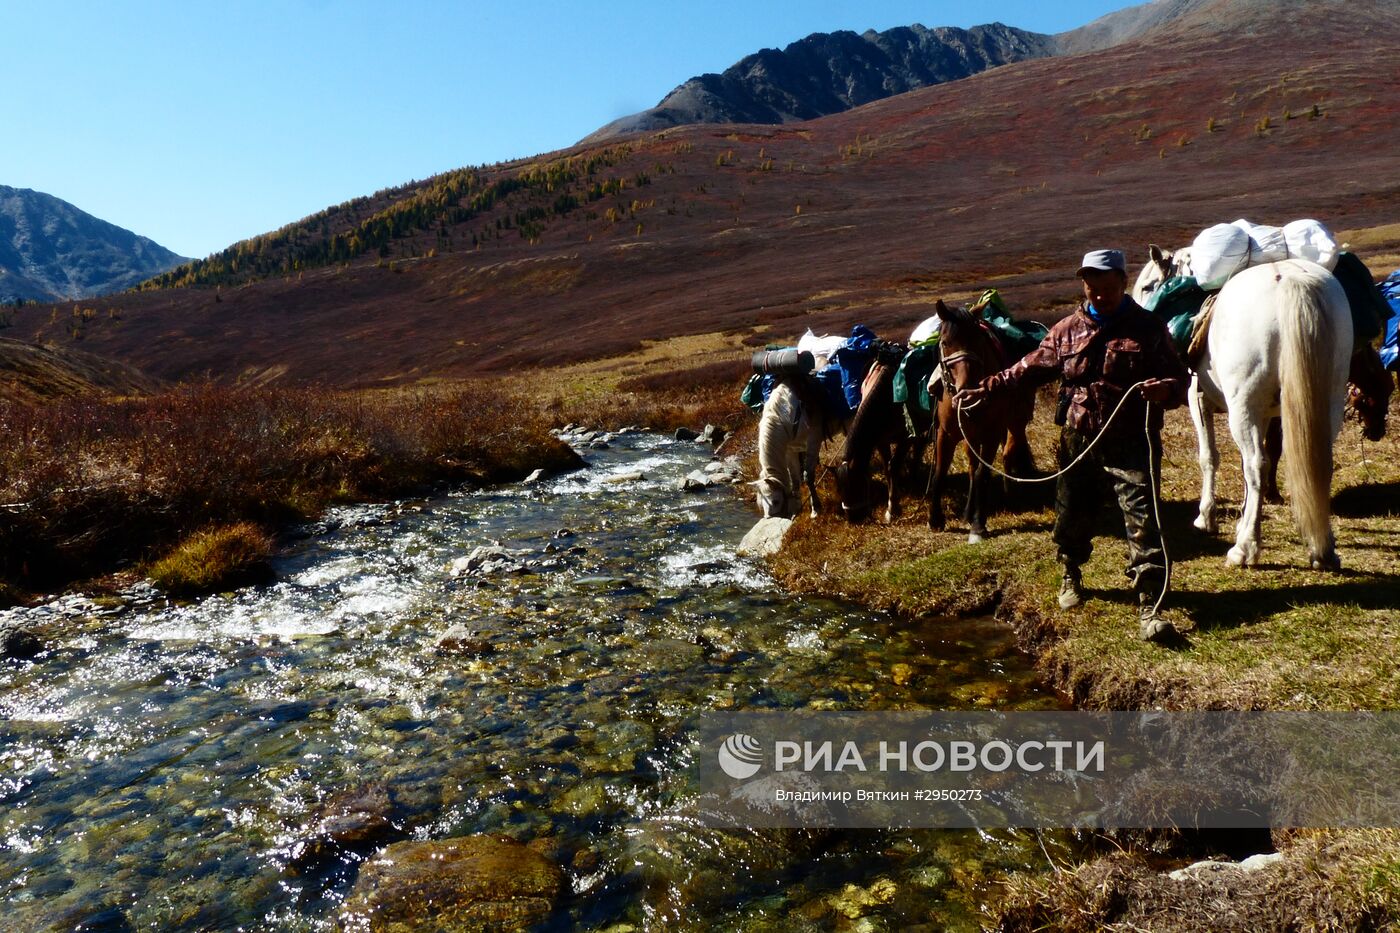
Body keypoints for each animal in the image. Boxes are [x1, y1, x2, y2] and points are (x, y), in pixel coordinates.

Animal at [924, 299, 1036, 537]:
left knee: (1008, 453)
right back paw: (968, 511)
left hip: (1015, 423)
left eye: (978, 341)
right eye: (945, 342)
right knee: (972, 466)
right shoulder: (945, 434)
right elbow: (940, 473)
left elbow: (982, 474)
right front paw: (935, 519)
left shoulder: (991, 434)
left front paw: (978, 523)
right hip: (971, 438)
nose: (967, 388)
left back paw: (1008, 496)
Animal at [1136, 249, 1355, 565]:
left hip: (1243, 406)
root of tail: (1290, 280)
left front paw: (1207, 518)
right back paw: (1322, 551)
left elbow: (1209, 457)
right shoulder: (1262, 414)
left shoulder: (1198, 400)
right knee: (1317, 463)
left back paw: (1244, 548)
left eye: (1147, 286)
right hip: (1329, 400)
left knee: (1256, 464)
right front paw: (1242, 517)